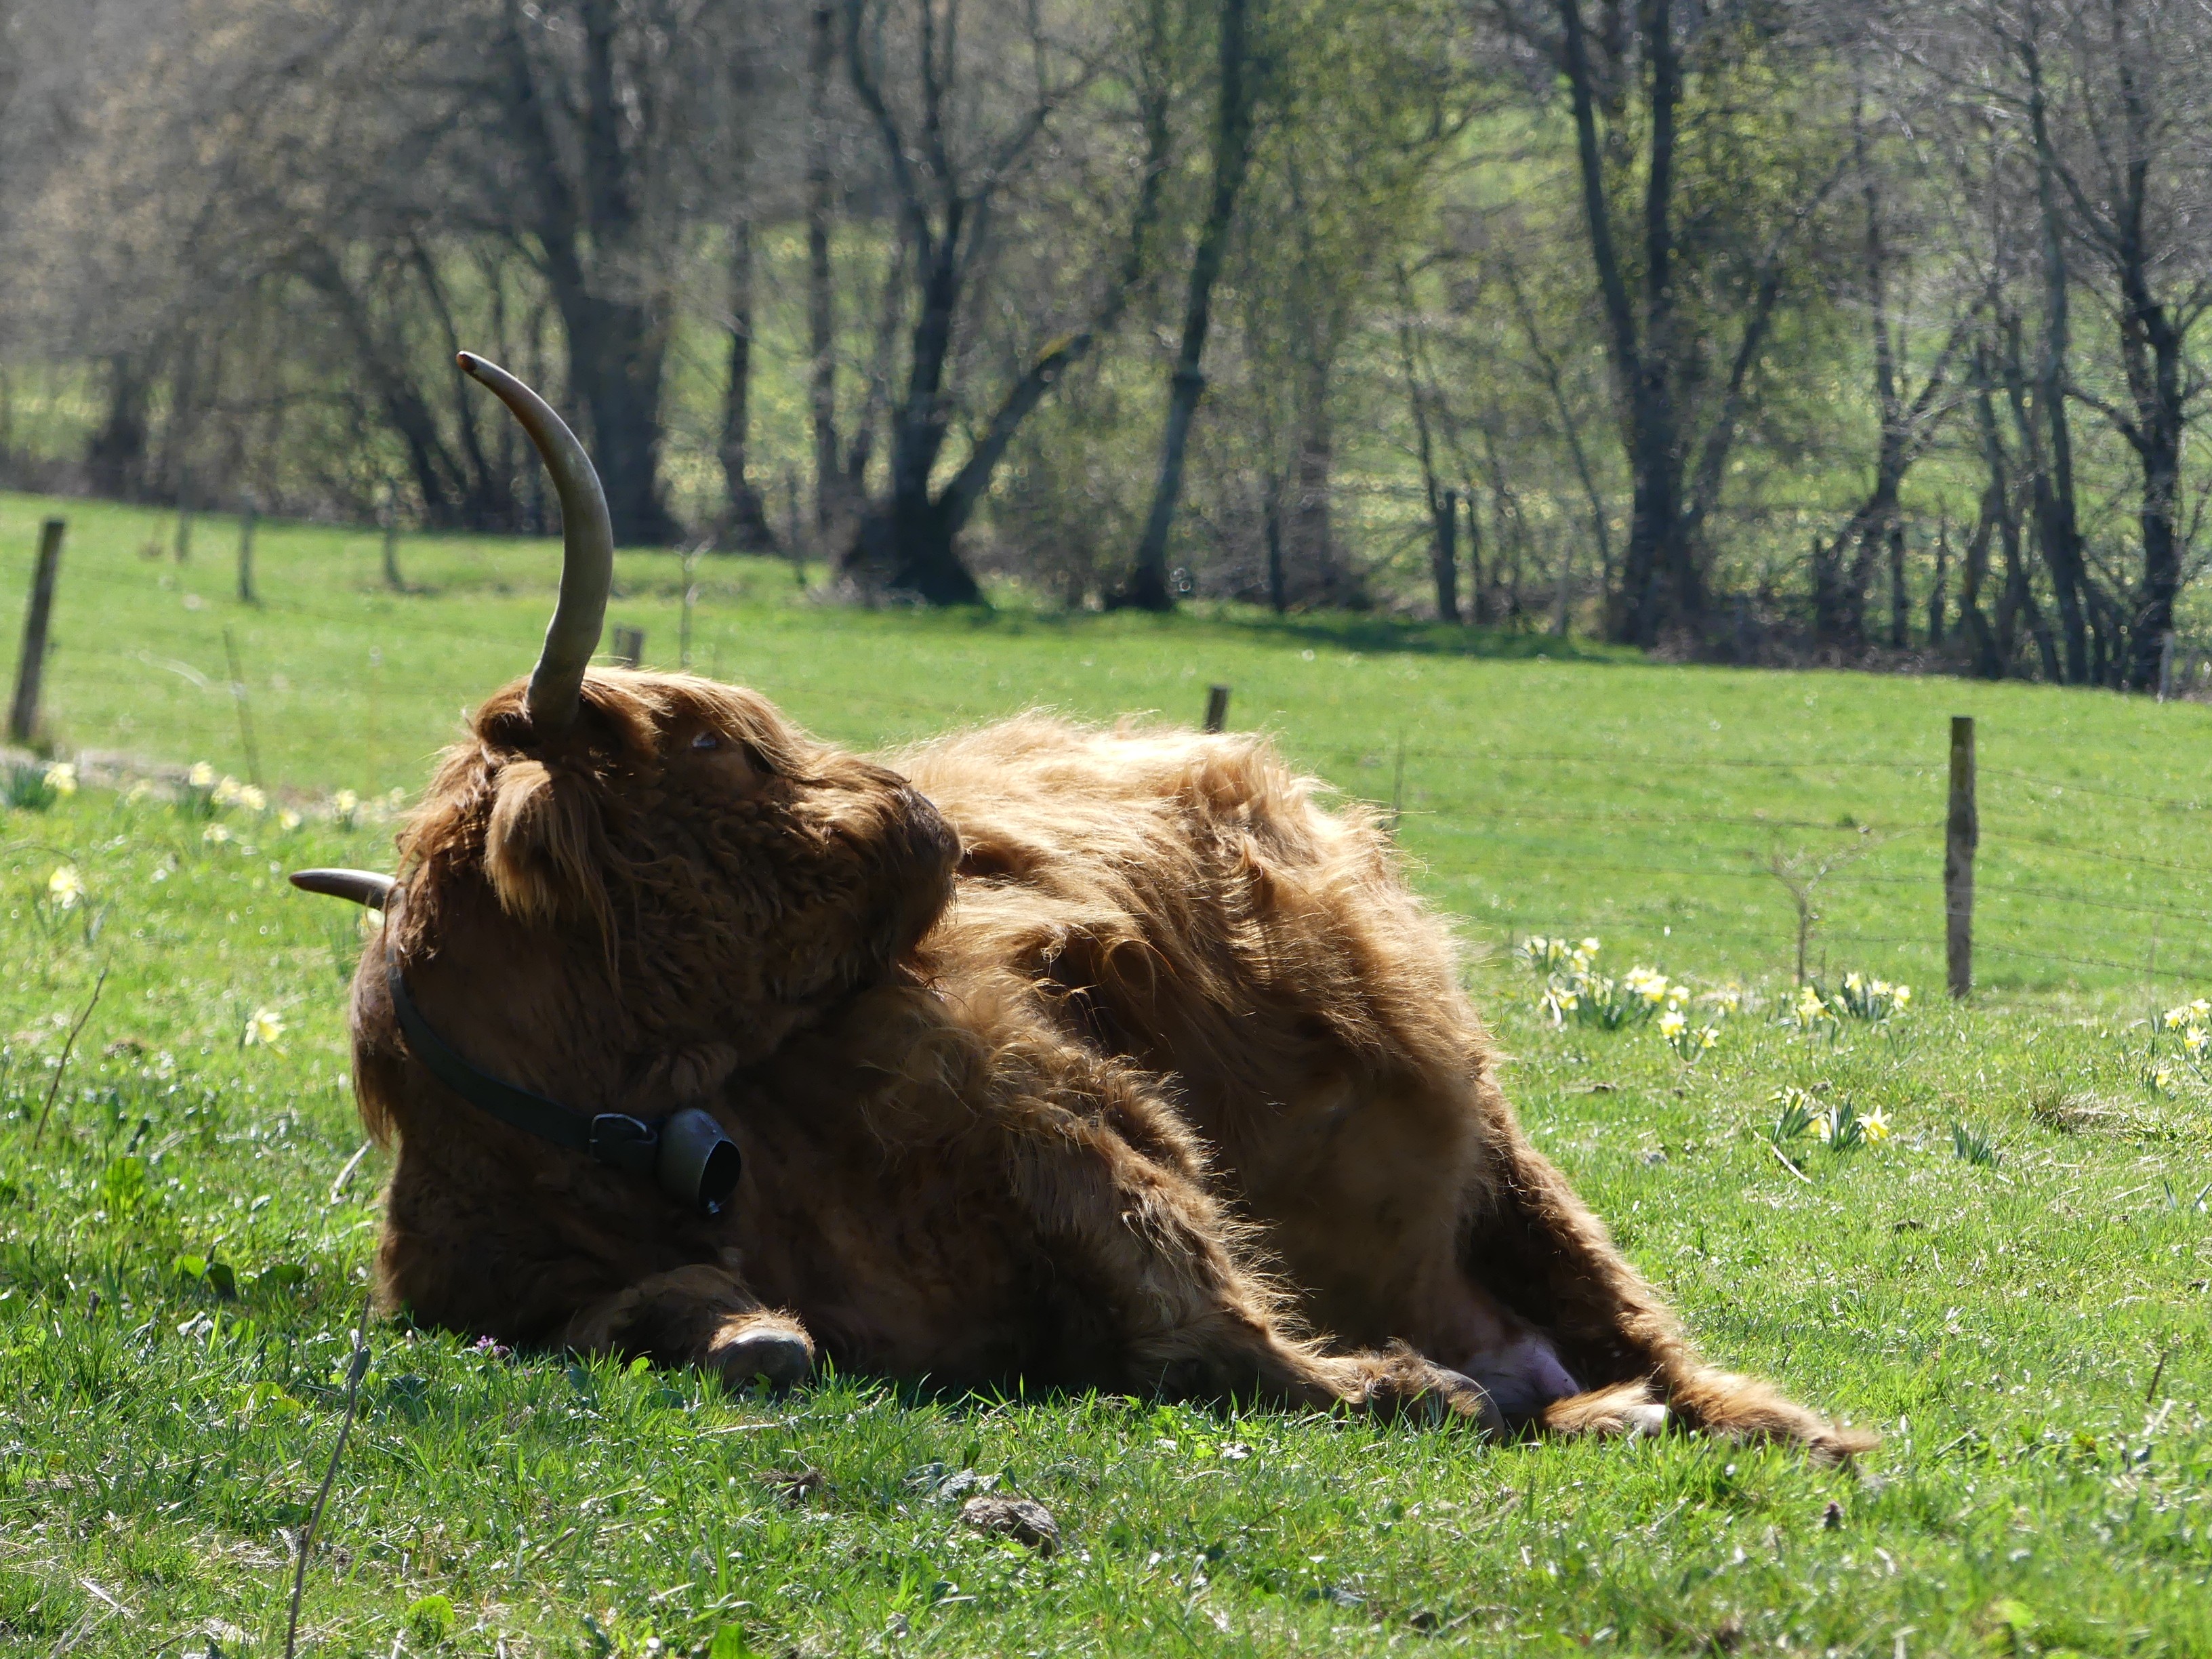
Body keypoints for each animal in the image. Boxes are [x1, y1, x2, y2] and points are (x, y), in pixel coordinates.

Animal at [294, 358, 1866, 1460]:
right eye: (723, 748)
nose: (924, 812)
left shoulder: (1061, 1112)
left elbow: (1199, 1312)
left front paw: (1388, 1382)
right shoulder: (505, 1293)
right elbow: (734, 1337)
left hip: (1500, 1148)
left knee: (1637, 1331)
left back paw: (1779, 1429)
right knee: (1562, 1369)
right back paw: (1587, 1407)